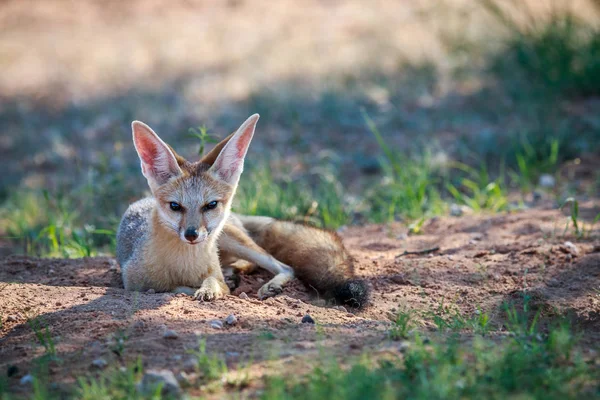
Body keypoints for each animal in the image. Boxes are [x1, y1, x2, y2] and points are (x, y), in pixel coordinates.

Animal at [116, 114, 370, 308]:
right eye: (175, 206)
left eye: (211, 205)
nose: (191, 235)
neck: (185, 264)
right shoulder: (134, 283)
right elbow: (172, 288)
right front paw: (207, 286)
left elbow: (213, 283)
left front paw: (210, 288)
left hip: (236, 240)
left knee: (283, 266)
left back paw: (264, 282)